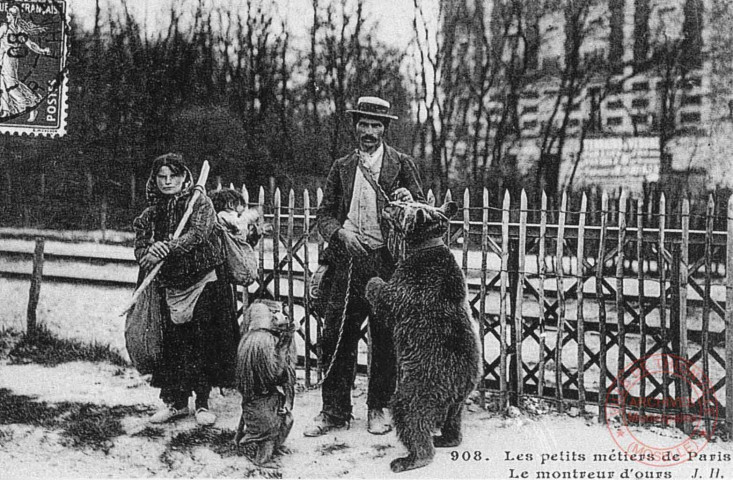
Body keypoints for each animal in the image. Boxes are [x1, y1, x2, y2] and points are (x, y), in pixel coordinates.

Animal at [364, 200, 480, 472]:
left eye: (401, 207)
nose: (388, 202)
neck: (424, 246)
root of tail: (456, 385)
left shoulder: (411, 285)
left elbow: (387, 298)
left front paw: (372, 281)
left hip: (418, 387)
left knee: (409, 417)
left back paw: (409, 458)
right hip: (459, 398)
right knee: (453, 420)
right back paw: (446, 438)